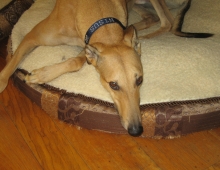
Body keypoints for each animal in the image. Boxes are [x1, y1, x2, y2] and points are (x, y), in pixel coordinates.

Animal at [0, 0, 213, 136]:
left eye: (140, 80)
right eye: (113, 85)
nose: (136, 130)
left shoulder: (88, 45)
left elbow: (76, 61)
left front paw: (41, 74)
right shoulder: (33, 36)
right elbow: (10, 66)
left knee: (165, 21)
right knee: (156, 19)